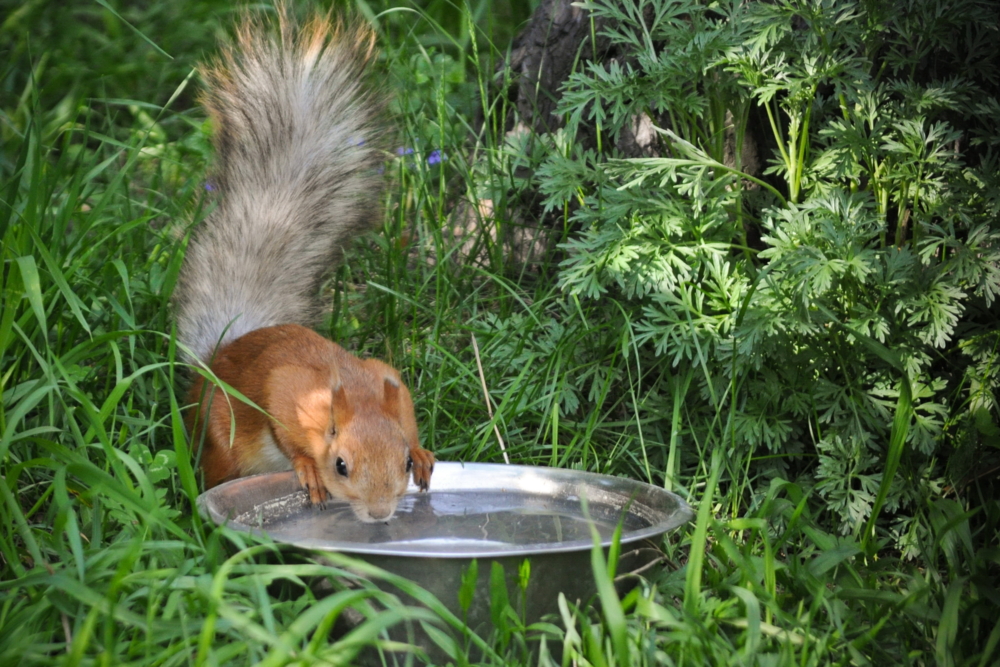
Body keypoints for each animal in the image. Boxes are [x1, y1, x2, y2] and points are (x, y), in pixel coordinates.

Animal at [176, 6, 434, 528]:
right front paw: (305, 466)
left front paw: (422, 451)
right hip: (219, 443)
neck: (353, 390)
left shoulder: (386, 378)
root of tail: (212, 361)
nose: (379, 514)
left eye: (400, 461)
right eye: (341, 465)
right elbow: (286, 428)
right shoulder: (287, 392)